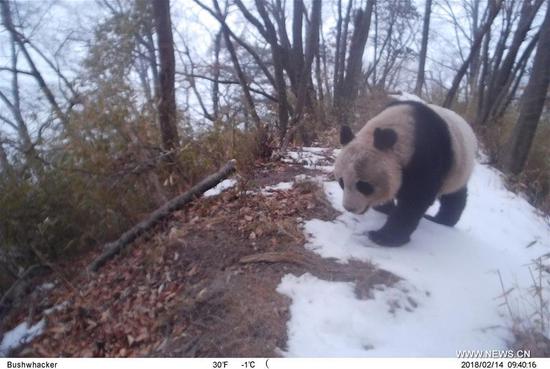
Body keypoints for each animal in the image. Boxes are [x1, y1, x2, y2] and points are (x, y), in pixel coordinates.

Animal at [334, 99, 480, 246]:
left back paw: (442, 219)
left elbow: (415, 199)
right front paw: (386, 208)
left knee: (453, 196)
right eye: (342, 183)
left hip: (458, 167)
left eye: (364, 186)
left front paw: (383, 237)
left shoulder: (428, 156)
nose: (350, 208)